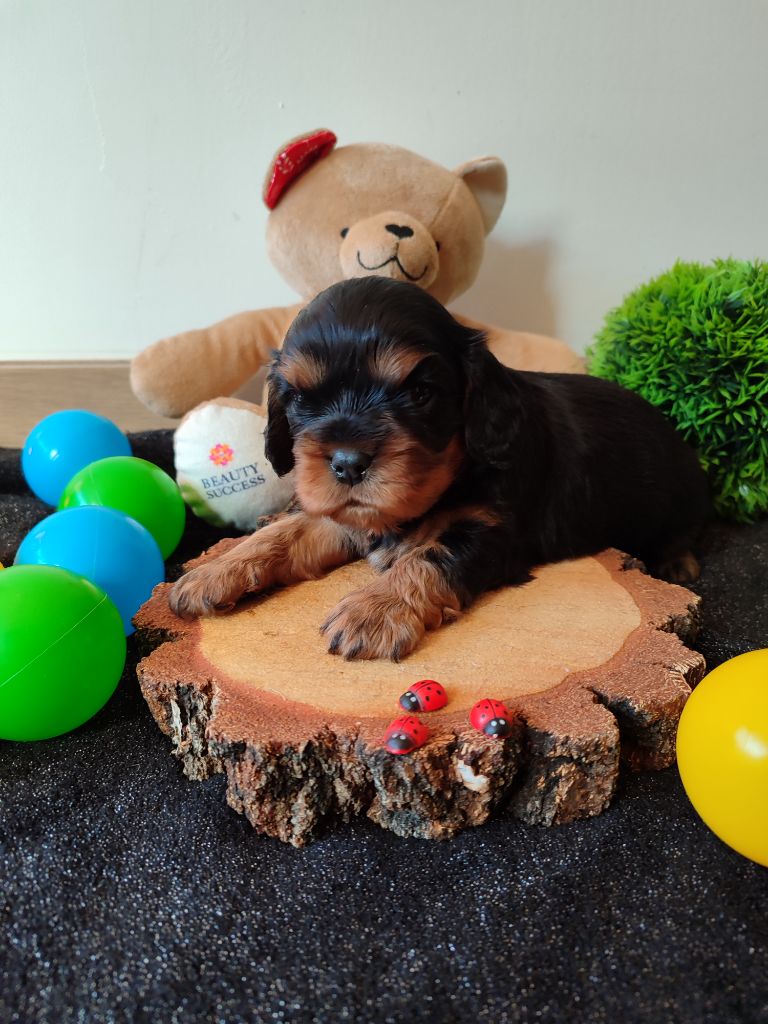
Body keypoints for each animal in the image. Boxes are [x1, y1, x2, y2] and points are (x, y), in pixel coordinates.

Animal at [171, 276, 712, 659]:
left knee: (684, 527)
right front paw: (214, 571)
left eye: (419, 393)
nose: (347, 463)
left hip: (679, 491)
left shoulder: (492, 530)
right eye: (301, 399)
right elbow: (288, 531)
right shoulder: (352, 515)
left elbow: (429, 556)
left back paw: (677, 561)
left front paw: (374, 611)